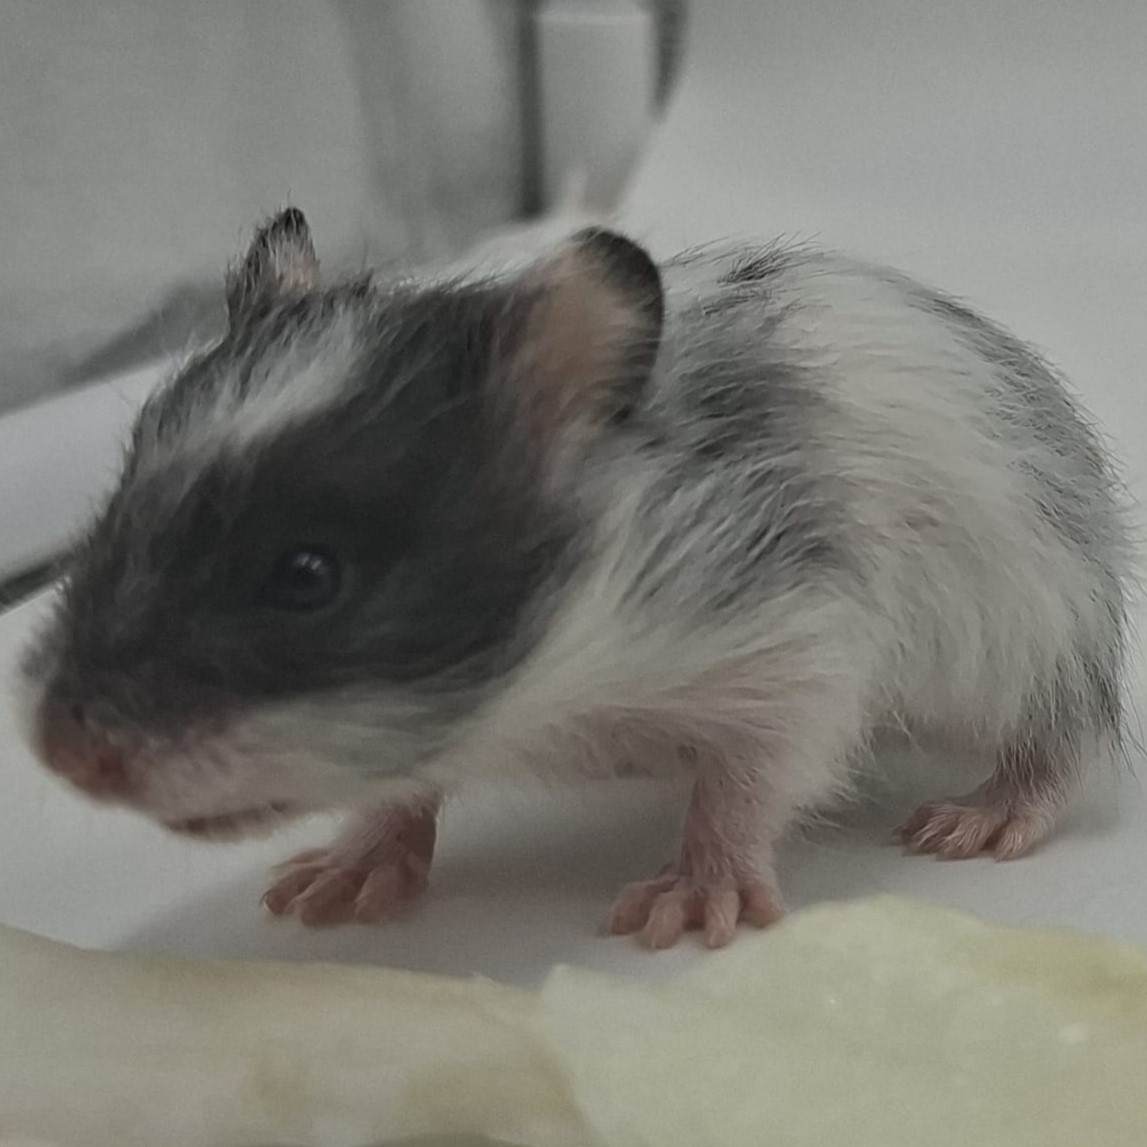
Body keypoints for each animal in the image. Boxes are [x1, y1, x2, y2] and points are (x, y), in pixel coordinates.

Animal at [19, 208, 1131, 949]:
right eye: (116, 503)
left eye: (307, 574)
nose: (62, 755)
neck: (571, 674)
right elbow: (396, 798)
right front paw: (327, 888)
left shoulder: (801, 655)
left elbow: (744, 788)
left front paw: (685, 908)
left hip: (1031, 639)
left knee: (1066, 741)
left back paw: (973, 823)